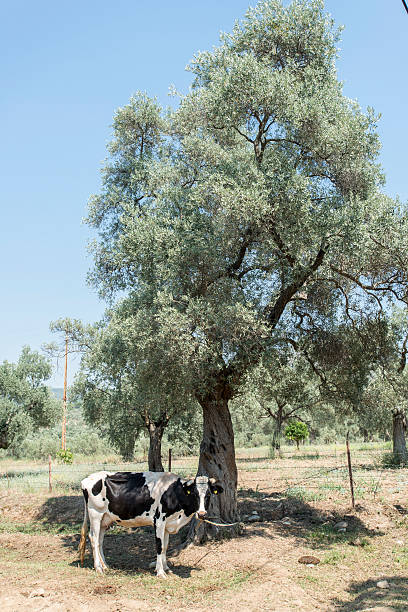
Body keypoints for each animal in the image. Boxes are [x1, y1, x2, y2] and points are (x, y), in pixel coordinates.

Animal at [77, 470, 222, 576]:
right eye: (194, 494)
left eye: (208, 495)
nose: (202, 514)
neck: (174, 492)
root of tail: (87, 479)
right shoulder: (159, 520)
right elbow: (159, 546)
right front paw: (160, 572)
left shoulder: (167, 524)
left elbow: (165, 545)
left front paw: (166, 567)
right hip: (95, 514)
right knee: (93, 538)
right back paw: (98, 568)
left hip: (105, 519)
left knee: (100, 540)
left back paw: (105, 565)